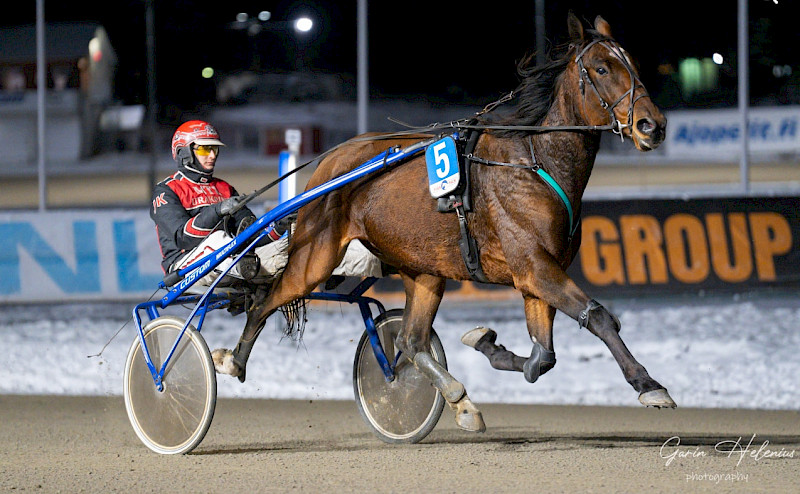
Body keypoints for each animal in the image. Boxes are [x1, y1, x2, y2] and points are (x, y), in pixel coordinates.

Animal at [212, 9, 676, 430]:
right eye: (601, 67)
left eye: (633, 64)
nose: (652, 125)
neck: (534, 164)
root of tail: (331, 160)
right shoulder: (534, 267)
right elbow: (598, 318)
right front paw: (650, 385)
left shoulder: (539, 275)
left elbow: (542, 358)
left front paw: (488, 343)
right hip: (316, 257)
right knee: (265, 301)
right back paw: (231, 361)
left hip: (423, 269)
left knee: (410, 339)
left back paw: (458, 398)